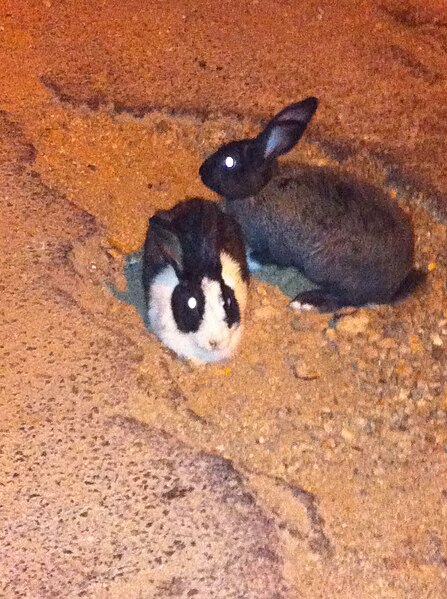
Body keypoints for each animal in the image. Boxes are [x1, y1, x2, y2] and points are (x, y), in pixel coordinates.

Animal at [200, 97, 428, 314]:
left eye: (230, 162)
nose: (202, 172)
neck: (261, 188)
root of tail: (394, 286)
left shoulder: (276, 247)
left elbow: (265, 258)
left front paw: (247, 259)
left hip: (325, 269)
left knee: (346, 299)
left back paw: (306, 301)